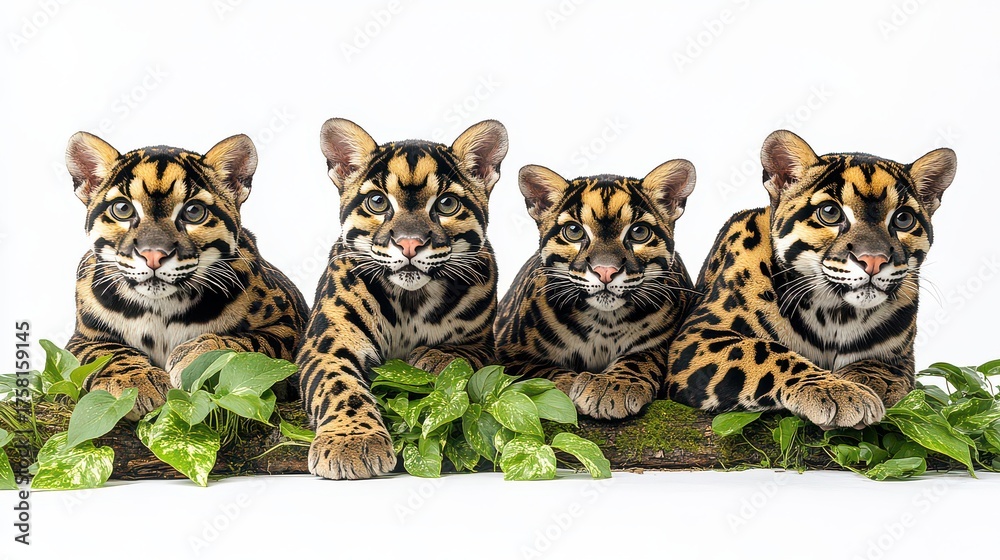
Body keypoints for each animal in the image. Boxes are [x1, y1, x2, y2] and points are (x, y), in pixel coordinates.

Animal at [64, 132, 308, 420]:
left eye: (193, 212)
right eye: (122, 209)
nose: (153, 255)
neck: (161, 308)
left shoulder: (289, 325)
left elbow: (252, 342)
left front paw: (199, 353)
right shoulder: (83, 338)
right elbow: (107, 353)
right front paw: (135, 380)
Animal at [296, 118, 508, 479]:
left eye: (446, 204)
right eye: (378, 202)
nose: (410, 244)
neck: (411, 300)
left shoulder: (485, 344)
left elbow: (465, 353)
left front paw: (436, 357)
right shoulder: (326, 344)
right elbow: (340, 386)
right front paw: (351, 441)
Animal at [495, 160, 697, 420]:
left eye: (639, 232)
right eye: (574, 231)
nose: (605, 271)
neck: (605, 322)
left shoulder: (662, 344)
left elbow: (643, 356)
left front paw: (614, 386)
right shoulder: (508, 352)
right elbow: (536, 370)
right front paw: (569, 384)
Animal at [666, 129, 957, 429]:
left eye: (903, 219)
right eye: (830, 213)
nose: (873, 260)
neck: (835, 313)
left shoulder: (901, 357)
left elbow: (880, 367)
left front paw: (863, 382)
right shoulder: (697, 337)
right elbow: (765, 352)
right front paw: (836, 391)